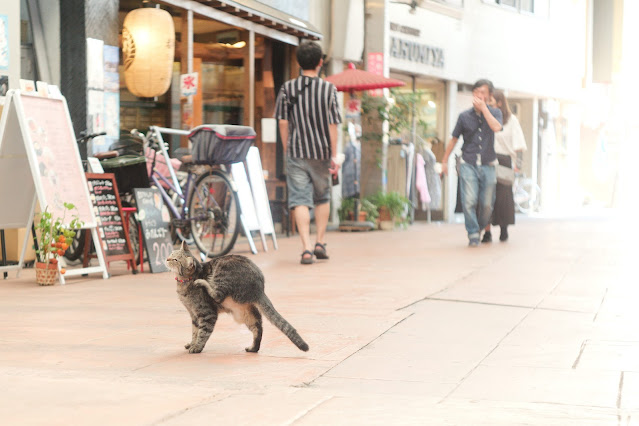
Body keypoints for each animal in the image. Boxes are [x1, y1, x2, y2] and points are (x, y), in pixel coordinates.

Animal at [165, 241, 310, 354]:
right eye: (171, 254)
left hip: (222, 275)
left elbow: (202, 332)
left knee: (217, 295)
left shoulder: (206, 313)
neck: (183, 282)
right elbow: (194, 331)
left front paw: (197, 347)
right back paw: (253, 348)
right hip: (248, 315)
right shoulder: (193, 315)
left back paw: (202, 283)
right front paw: (192, 343)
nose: (166, 258)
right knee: (258, 329)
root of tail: (259, 288)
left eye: (175, 259)